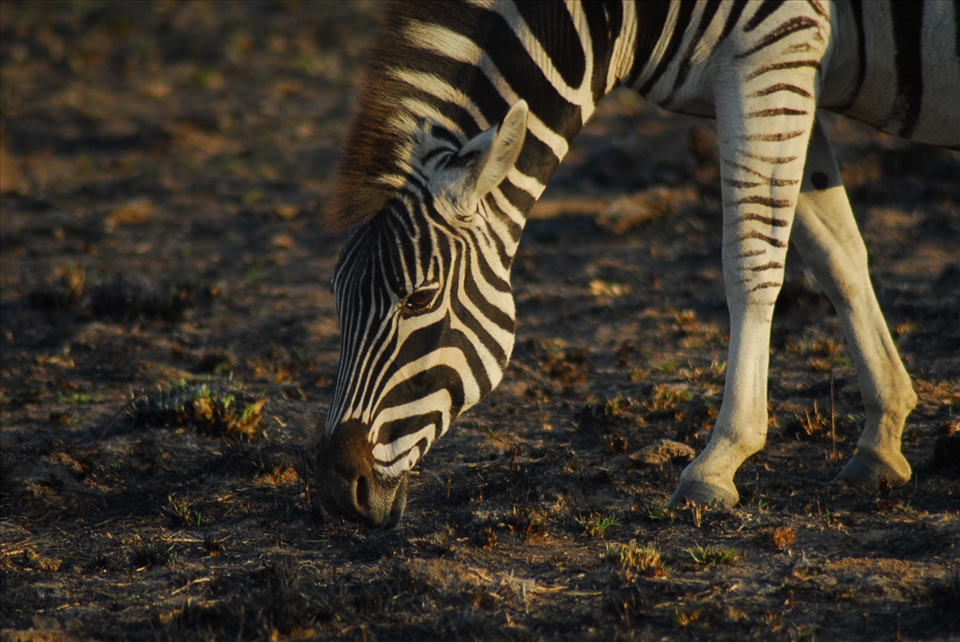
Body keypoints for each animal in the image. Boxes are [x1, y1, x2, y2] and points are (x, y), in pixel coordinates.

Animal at [315, 0, 960, 527]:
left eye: (418, 299)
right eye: (337, 296)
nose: (335, 490)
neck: (623, 16)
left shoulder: (774, 51)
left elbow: (751, 260)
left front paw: (719, 460)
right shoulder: (791, 73)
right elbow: (837, 253)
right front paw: (882, 437)